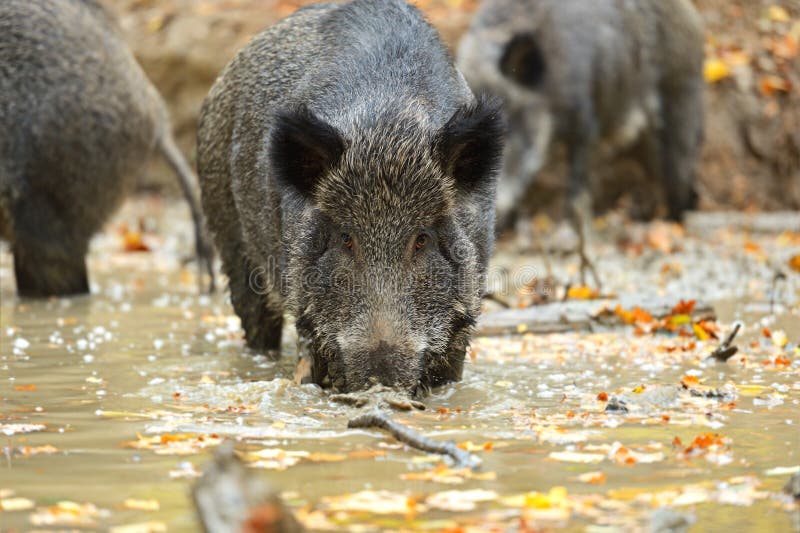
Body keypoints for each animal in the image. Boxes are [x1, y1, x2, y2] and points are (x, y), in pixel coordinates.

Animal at [198, 0, 504, 394]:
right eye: (346, 238)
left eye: (422, 239)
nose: (381, 376)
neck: (388, 127)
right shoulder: (306, 310)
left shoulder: (467, 304)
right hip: (230, 239)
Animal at [457, 0, 705, 232]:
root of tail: (693, 19)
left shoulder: (584, 121)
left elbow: (577, 184)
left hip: (680, 99)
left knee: (680, 176)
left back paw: (673, 221)